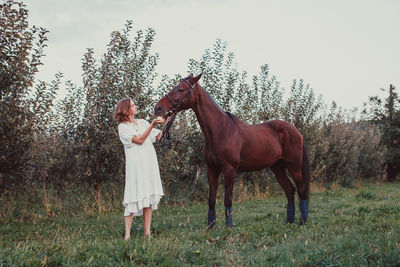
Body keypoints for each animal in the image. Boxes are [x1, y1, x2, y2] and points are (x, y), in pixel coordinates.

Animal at [153, 74, 310, 228]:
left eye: (180, 89)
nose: (158, 108)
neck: (220, 130)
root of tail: (296, 131)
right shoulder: (212, 169)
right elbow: (211, 199)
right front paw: (210, 227)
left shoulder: (229, 169)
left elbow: (227, 199)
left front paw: (229, 228)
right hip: (278, 167)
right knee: (290, 190)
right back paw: (289, 222)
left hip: (294, 166)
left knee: (301, 190)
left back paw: (302, 222)